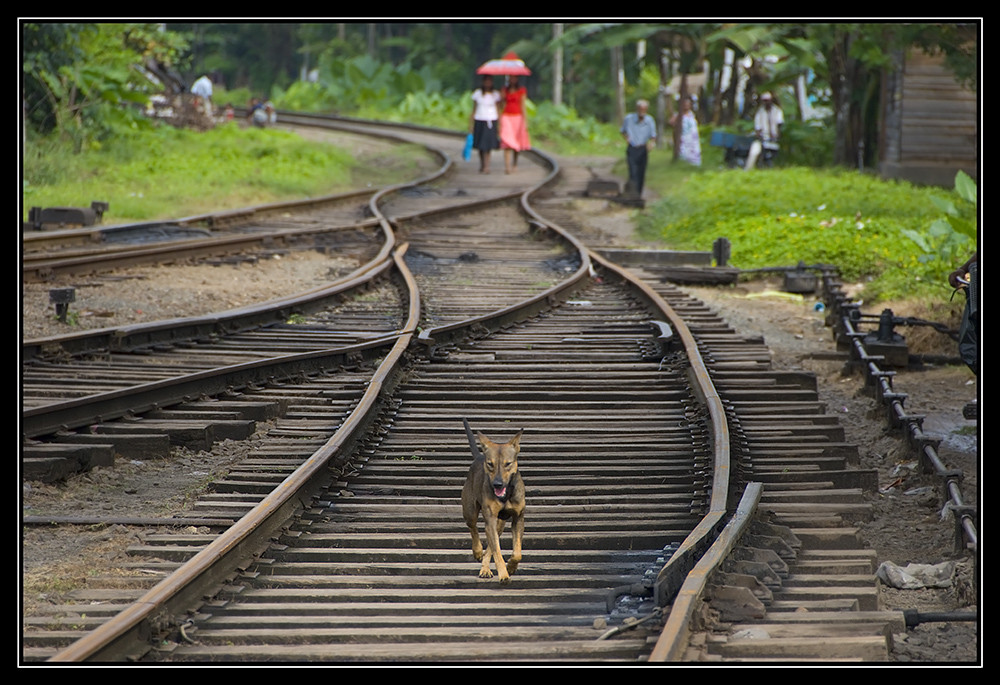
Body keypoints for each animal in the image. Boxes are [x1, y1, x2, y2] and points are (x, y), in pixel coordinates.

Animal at [460, 422, 524, 584]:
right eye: (490, 464)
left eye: (508, 464)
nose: (497, 484)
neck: (506, 495)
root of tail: (479, 456)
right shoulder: (490, 518)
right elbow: (497, 551)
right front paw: (504, 574)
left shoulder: (518, 517)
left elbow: (517, 552)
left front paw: (511, 566)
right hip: (470, 510)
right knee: (473, 528)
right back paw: (477, 552)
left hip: (499, 524)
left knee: (490, 543)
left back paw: (485, 569)